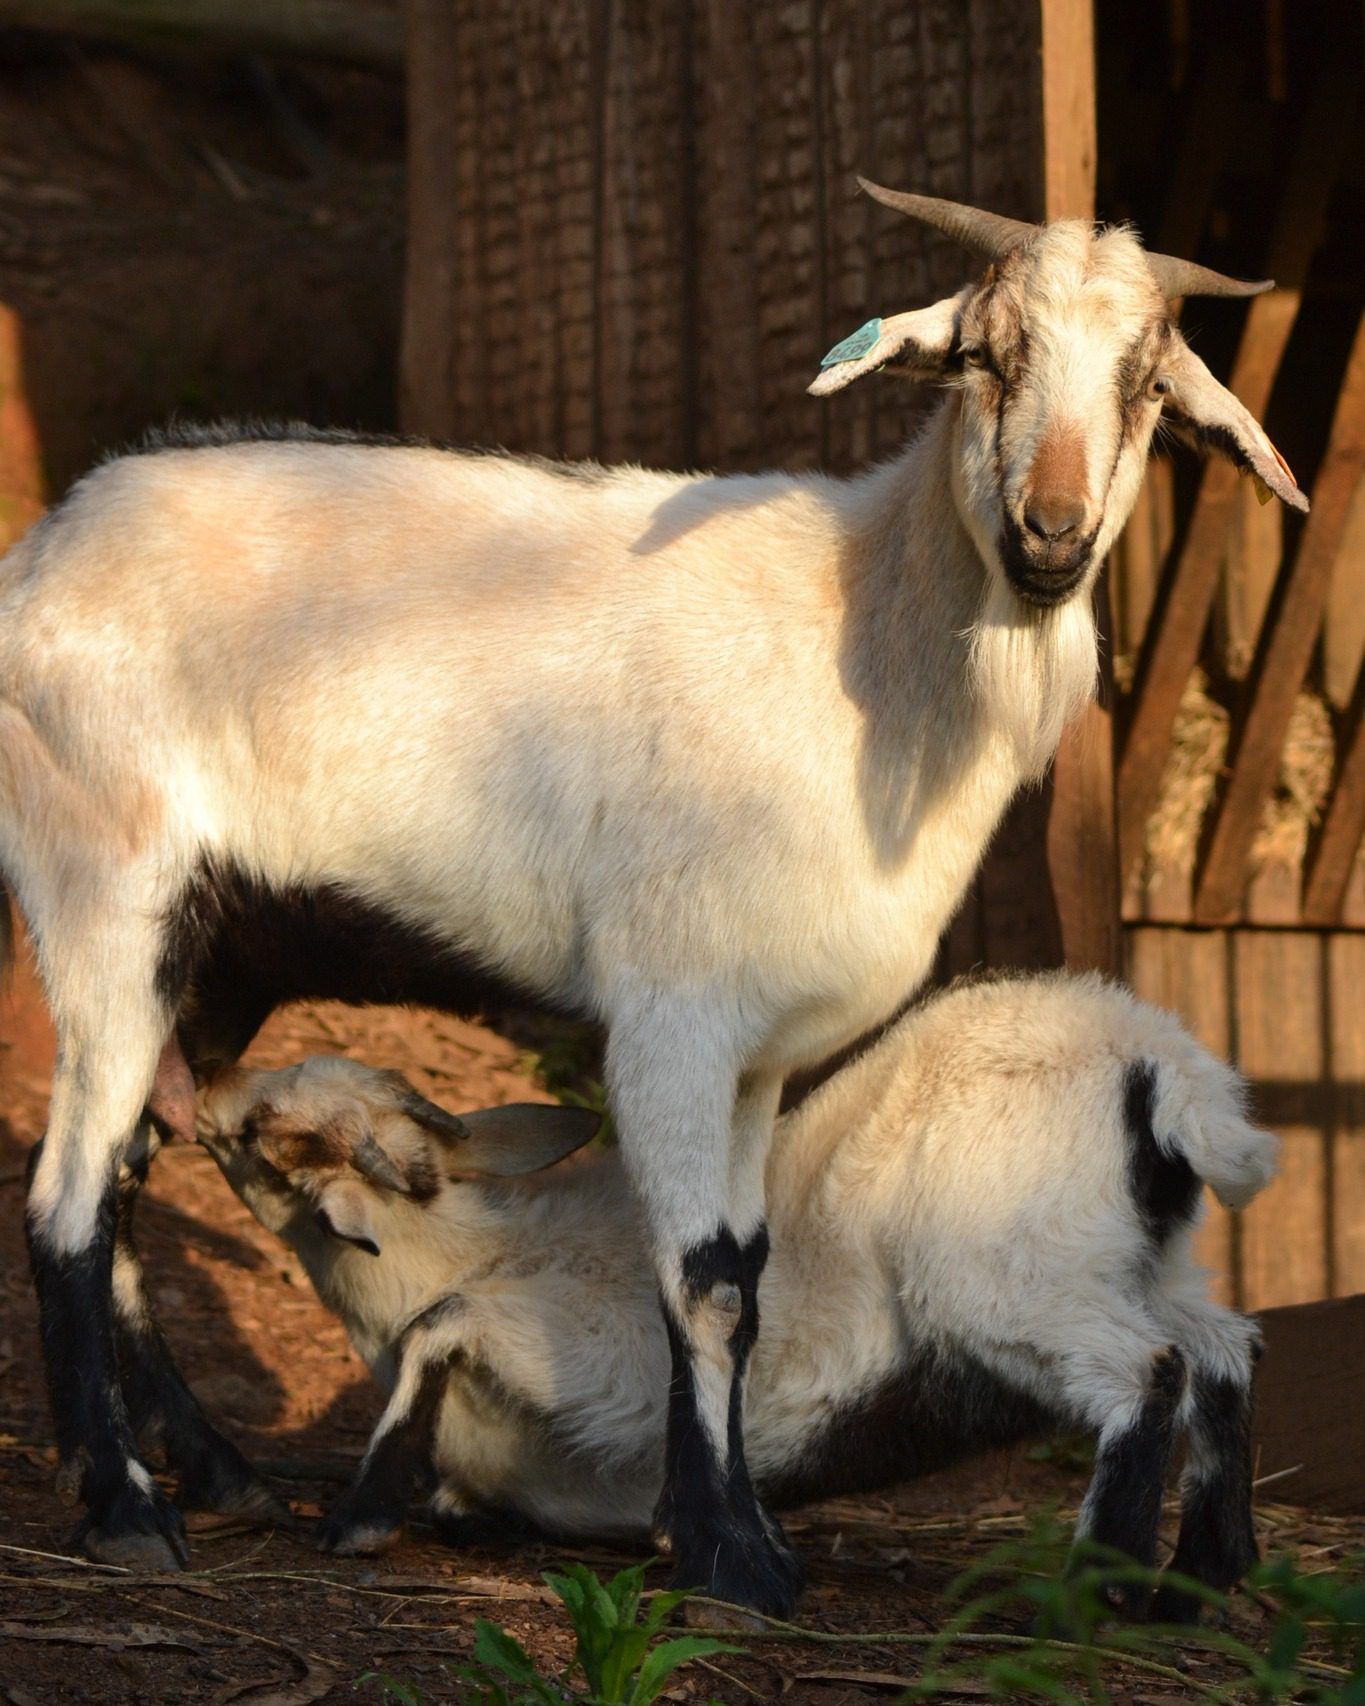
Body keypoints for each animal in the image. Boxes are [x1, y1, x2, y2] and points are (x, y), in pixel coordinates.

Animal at [197, 971, 1276, 1622]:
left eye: (267, 1134)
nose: (201, 1097)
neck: (476, 1247)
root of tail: (1162, 1070)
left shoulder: (592, 1356)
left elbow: (443, 1325)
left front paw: (356, 1518)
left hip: (1008, 1272)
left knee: (1147, 1372)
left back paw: (1093, 1595)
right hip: (1148, 1262)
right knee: (1227, 1352)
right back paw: (1201, 1577)